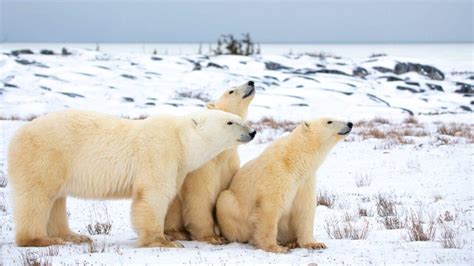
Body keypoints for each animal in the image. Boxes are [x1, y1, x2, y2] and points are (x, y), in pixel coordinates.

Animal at [7, 108, 256, 247]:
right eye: (230, 122)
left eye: (238, 118)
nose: (253, 132)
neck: (181, 140)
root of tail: (17, 135)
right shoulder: (160, 153)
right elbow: (154, 195)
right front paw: (163, 241)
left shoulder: (178, 166)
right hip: (46, 156)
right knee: (37, 197)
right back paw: (39, 239)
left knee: (57, 200)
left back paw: (74, 236)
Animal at [166, 81, 256, 245]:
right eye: (231, 91)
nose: (250, 82)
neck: (219, 152)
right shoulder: (203, 167)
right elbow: (200, 196)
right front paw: (212, 237)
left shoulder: (229, 166)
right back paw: (178, 233)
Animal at [215, 117, 352, 252]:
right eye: (329, 121)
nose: (350, 123)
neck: (294, 161)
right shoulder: (277, 176)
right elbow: (270, 210)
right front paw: (275, 247)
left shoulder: (304, 182)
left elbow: (305, 210)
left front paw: (315, 244)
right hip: (232, 205)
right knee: (226, 203)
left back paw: (291, 242)